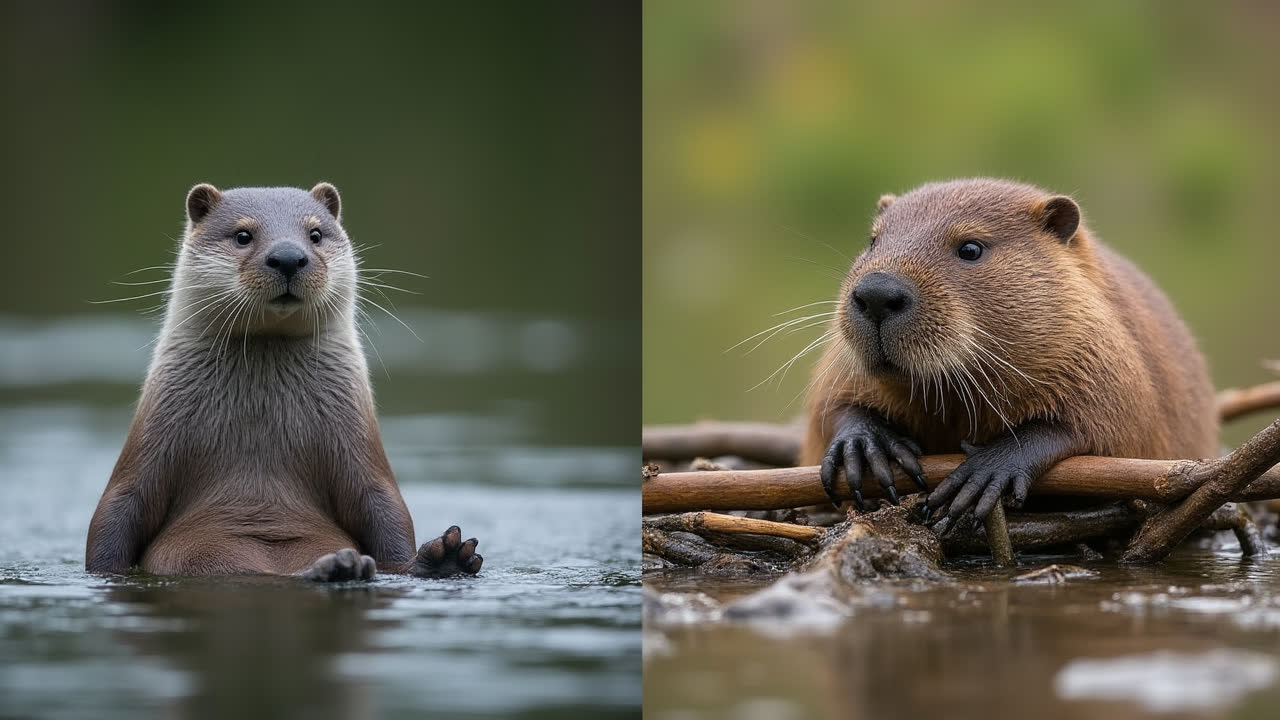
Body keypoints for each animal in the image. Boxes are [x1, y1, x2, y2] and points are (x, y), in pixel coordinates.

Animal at [86, 182, 483, 581]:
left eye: (315, 234)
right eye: (243, 235)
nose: (289, 257)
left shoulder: (360, 447)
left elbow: (385, 507)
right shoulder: (151, 440)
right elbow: (118, 509)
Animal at [801, 178, 1218, 532]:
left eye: (971, 248)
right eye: (873, 240)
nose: (876, 293)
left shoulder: (1108, 353)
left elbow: (1113, 426)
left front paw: (985, 472)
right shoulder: (839, 364)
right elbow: (828, 404)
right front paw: (863, 444)